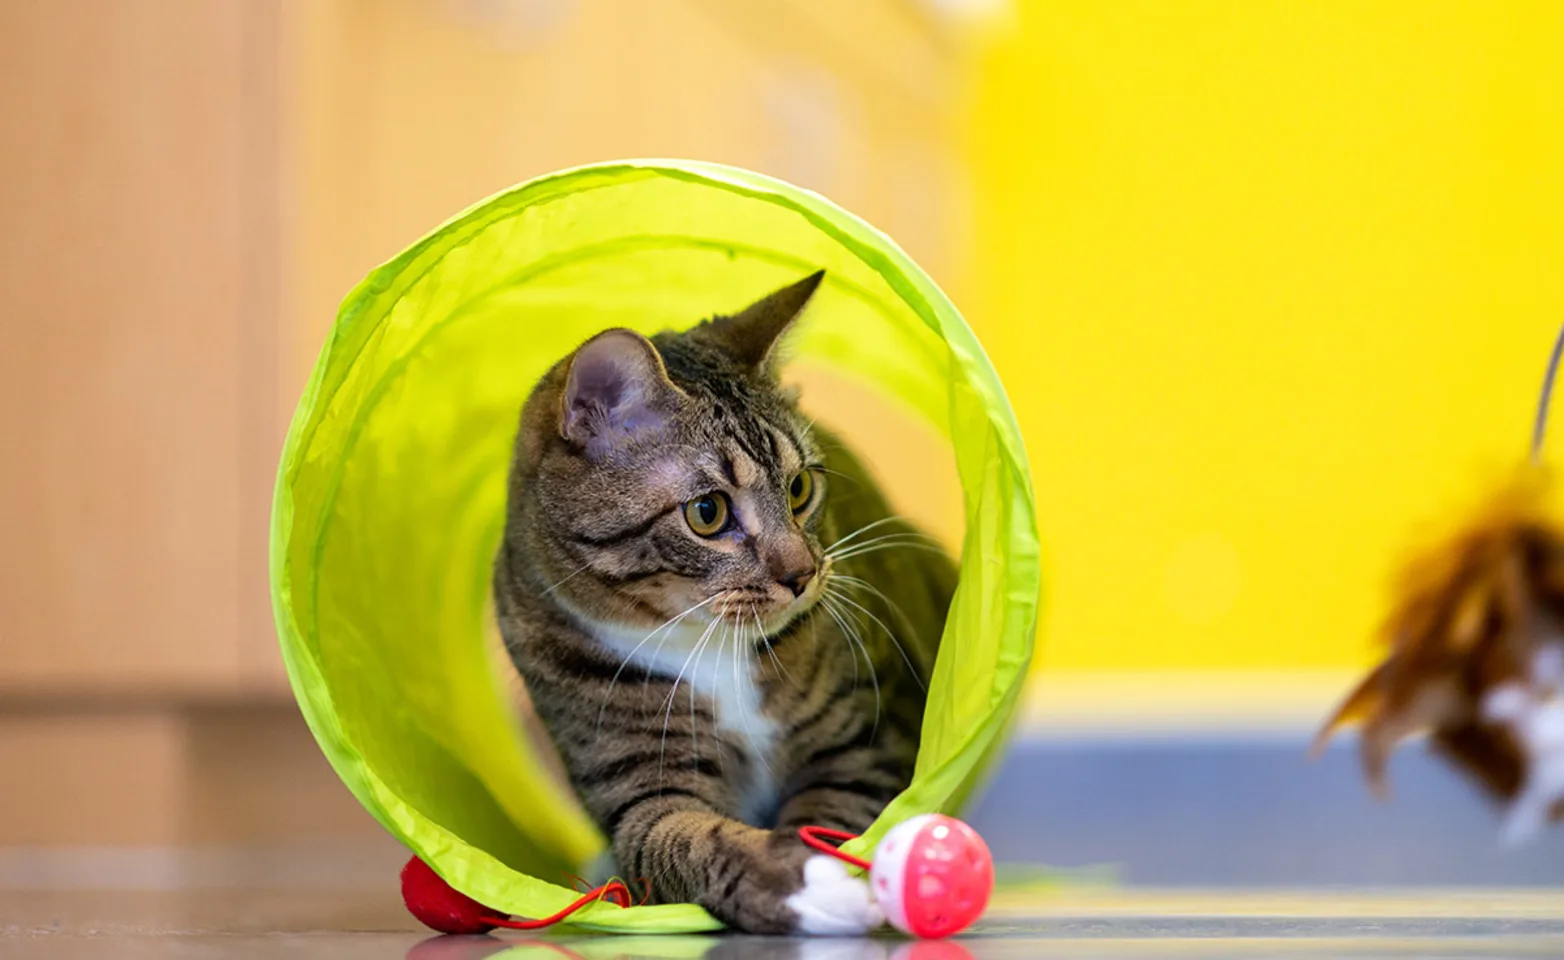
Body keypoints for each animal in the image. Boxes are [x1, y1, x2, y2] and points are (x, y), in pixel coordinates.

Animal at [491, 272, 950, 938]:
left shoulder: (866, 738)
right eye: (707, 512)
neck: (706, 642)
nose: (803, 575)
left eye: (799, 488)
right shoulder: (639, 782)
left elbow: (834, 808)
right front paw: (800, 883)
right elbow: (681, 838)